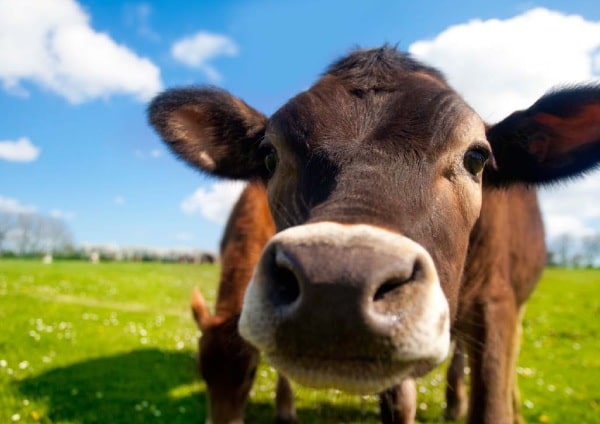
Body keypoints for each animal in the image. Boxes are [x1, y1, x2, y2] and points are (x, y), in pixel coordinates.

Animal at [150, 46, 600, 424]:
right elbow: (399, 404)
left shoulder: (497, 304)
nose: (335, 286)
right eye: (269, 155)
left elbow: (492, 403)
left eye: (476, 157)